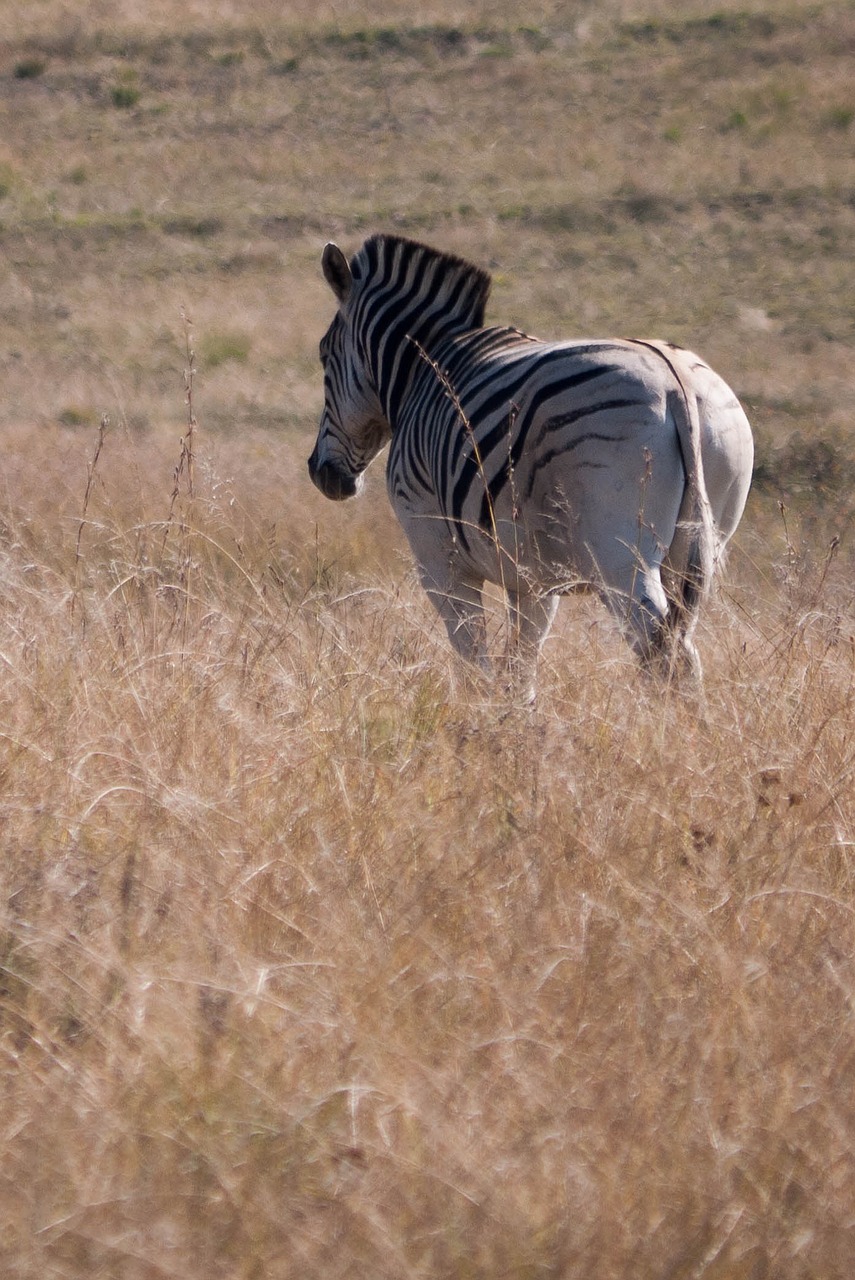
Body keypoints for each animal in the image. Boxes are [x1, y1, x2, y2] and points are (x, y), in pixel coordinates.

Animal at [307, 238, 752, 701]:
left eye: (323, 356)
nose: (320, 474)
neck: (421, 370)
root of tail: (674, 380)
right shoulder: (533, 577)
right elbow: (520, 666)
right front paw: (512, 716)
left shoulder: (434, 548)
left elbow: (472, 653)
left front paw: (472, 712)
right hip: (703, 532)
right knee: (683, 651)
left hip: (619, 553)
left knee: (660, 651)